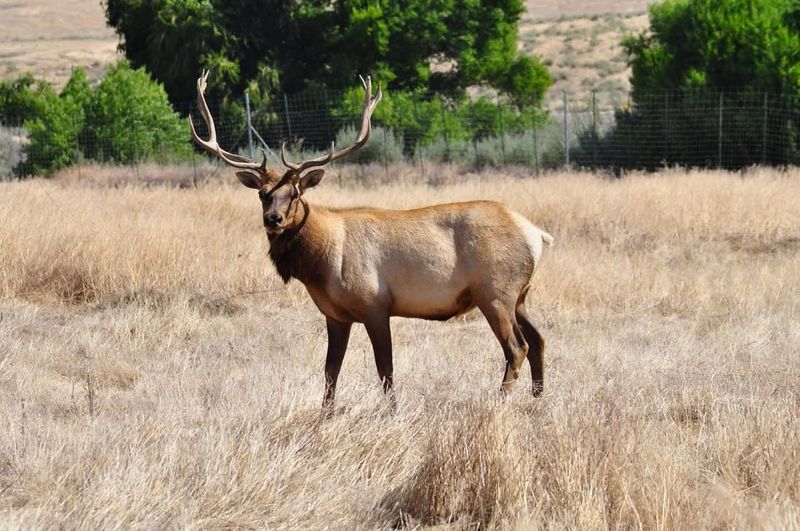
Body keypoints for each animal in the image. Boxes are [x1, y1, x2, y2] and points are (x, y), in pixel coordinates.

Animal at [189, 71, 553, 411]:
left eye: (295, 193)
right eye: (263, 194)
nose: (273, 220)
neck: (321, 264)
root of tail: (537, 234)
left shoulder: (375, 305)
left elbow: (385, 368)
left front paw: (392, 411)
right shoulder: (335, 315)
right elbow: (330, 370)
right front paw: (325, 414)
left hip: (495, 291)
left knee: (517, 347)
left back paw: (500, 400)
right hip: (518, 295)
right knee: (538, 340)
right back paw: (538, 399)